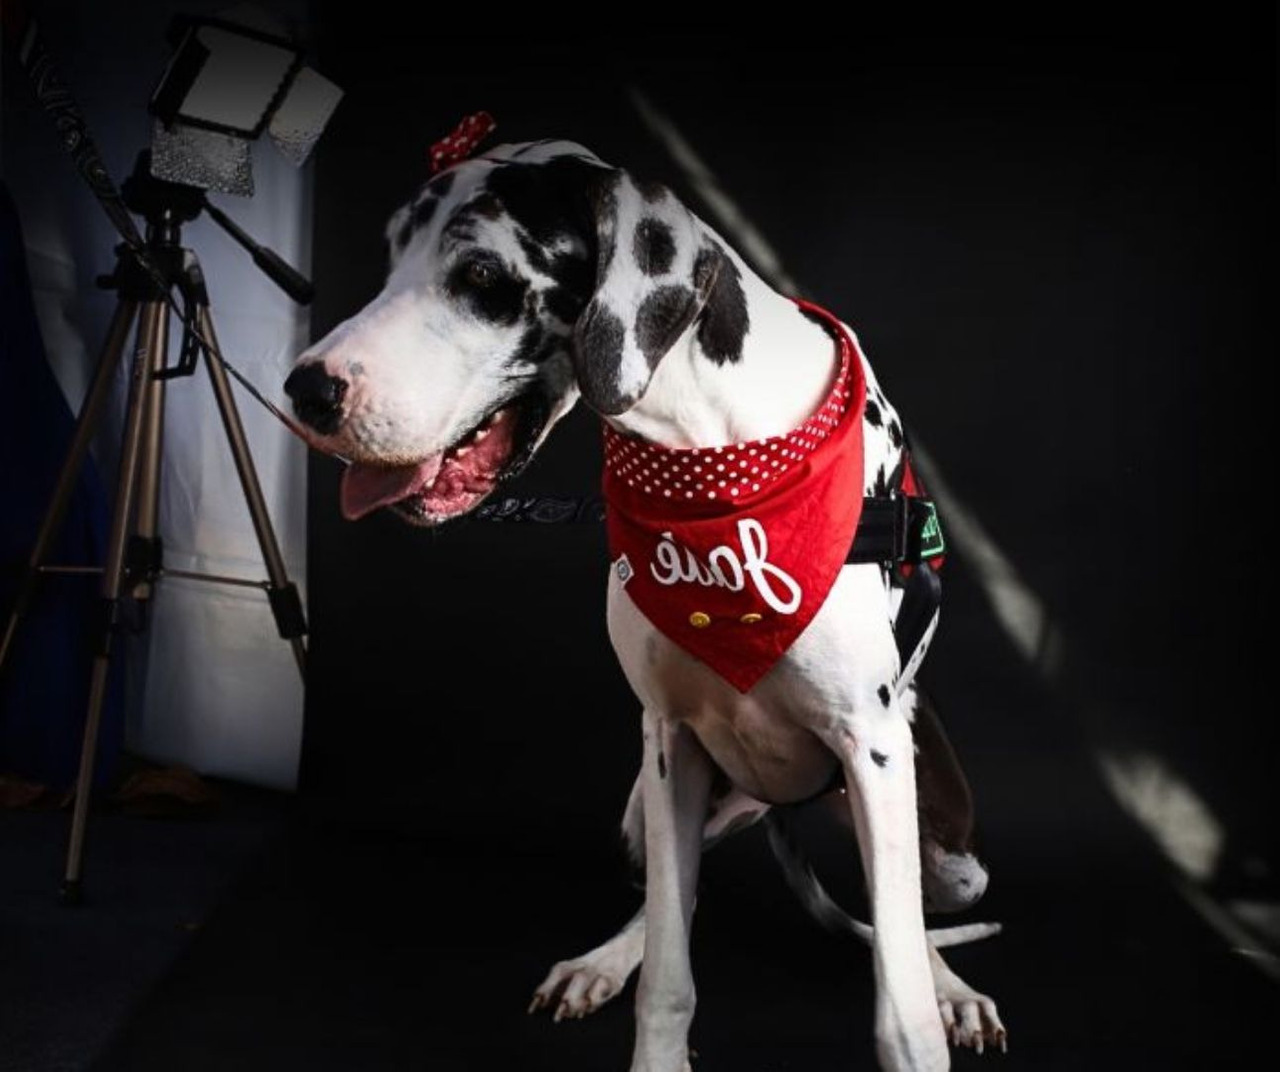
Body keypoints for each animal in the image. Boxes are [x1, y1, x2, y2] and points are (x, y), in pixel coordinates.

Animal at [284, 134, 1005, 1072]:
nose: (305, 391)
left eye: (480, 275)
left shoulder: (872, 745)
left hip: (946, 844)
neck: (706, 459)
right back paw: (603, 961)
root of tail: (784, 806)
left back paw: (953, 989)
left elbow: (901, 1002)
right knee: (678, 896)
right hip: (643, 810)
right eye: (389, 259)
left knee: (910, 919)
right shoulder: (668, 740)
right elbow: (668, 967)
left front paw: (929, 1012)